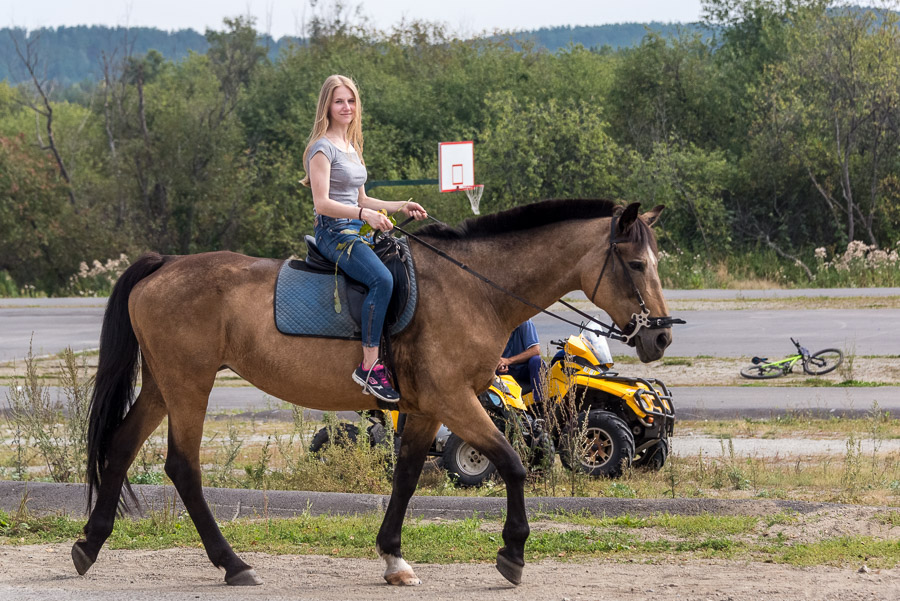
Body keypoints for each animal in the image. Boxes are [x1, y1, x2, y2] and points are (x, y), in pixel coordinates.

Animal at [72, 197, 676, 584]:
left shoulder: (428, 407)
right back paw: (232, 564)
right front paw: (512, 552)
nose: (661, 336)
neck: (472, 288)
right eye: (636, 262)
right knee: (182, 466)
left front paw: (393, 558)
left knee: (122, 447)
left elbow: (406, 476)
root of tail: (164, 265)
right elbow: (511, 462)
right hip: (188, 384)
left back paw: (88, 545)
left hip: (163, 384)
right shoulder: (455, 399)